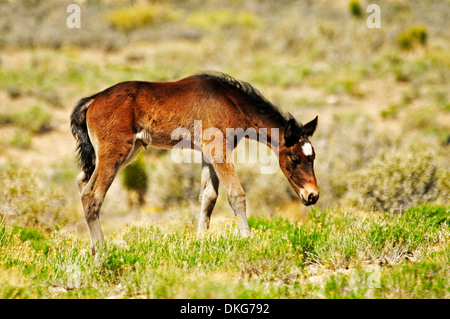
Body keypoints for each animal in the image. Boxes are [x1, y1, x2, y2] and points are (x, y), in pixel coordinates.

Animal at [70, 72, 320, 255]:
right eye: (294, 158)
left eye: (313, 156)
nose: (312, 196)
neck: (229, 101)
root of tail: (93, 100)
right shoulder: (219, 149)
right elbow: (236, 195)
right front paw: (248, 240)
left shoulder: (207, 154)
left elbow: (208, 196)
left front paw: (201, 240)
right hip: (116, 151)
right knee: (92, 194)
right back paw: (102, 252)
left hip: (129, 151)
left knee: (82, 181)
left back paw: (93, 248)